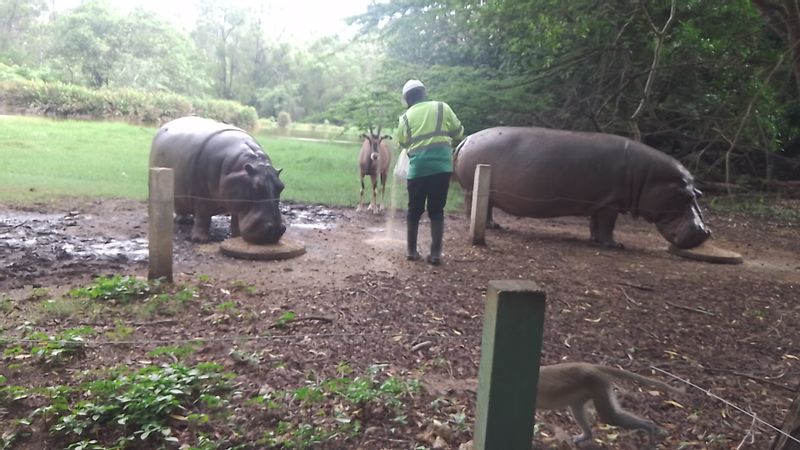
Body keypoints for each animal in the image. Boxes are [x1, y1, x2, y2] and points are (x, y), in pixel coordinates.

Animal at [151, 116, 288, 243]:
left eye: (281, 186)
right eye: (256, 186)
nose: (276, 230)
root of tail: (165, 125)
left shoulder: (236, 199)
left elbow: (235, 219)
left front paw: (237, 237)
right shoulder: (201, 197)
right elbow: (203, 217)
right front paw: (200, 240)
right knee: (183, 209)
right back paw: (183, 221)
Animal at [456, 126, 712, 250]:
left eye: (698, 193)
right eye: (687, 194)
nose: (704, 232)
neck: (648, 177)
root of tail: (467, 139)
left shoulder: (600, 202)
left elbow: (596, 224)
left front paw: (596, 241)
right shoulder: (611, 204)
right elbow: (608, 226)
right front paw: (616, 246)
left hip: (487, 191)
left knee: (487, 208)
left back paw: (495, 225)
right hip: (473, 188)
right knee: (473, 207)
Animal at [536, 364, 680, 448]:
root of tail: (588, 365)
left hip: (599, 385)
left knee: (610, 417)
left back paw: (649, 427)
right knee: (577, 409)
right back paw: (586, 435)